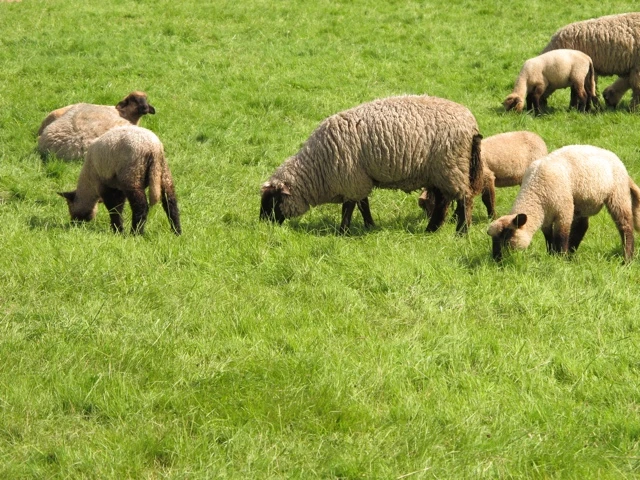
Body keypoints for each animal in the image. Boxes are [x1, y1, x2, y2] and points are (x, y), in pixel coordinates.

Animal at [259, 95, 484, 234]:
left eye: (272, 201)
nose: (262, 225)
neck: (317, 168)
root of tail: (471, 124)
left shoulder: (351, 179)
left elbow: (349, 207)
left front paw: (342, 231)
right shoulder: (359, 178)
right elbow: (363, 204)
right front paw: (369, 225)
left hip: (451, 166)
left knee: (464, 199)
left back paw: (461, 232)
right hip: (438, 172)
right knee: (443, 201)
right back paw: (431, 229)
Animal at [418, 131, 548, 219]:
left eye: (430, 204)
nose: (428, 218)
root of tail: (539, 139)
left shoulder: (487, 177)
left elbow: (488, 199)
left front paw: (492, 217)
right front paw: (455, 217)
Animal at [487, 145, 640, 263]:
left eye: (507, 236)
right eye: (493, 240)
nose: (497, 260)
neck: (536, 193)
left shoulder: (563, 211)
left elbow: (561, 236)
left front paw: (560, 259)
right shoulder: (547, 218)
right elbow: (549, 237)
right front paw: (551, 255)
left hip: (617, 195)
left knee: (626, 226)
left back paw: (627, 259)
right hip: (581, 204)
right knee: (581, 227)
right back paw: (572, 254)